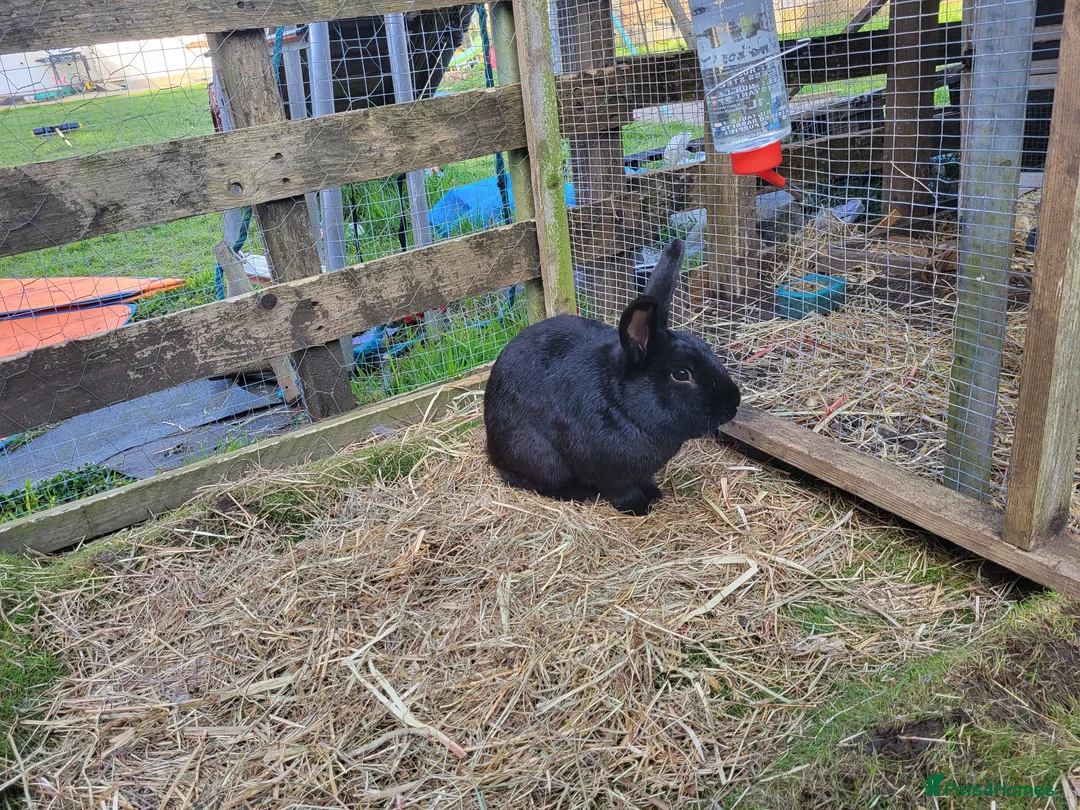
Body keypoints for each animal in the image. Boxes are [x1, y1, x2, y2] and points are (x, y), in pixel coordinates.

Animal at [484, 237, 741, 516]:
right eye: (682, 374)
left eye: (705, 346)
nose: (734, 402)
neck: (623, 405)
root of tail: (492, 448)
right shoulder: (609, 472)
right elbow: (621, 491)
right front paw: (640, 507)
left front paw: (654, 493)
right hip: (540, 457)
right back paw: (581, 494)